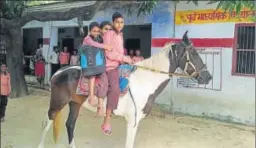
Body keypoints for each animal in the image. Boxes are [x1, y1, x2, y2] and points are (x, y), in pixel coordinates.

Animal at [36, 30, 212, 147]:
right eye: (194, 53)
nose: (208, 77)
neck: (144, 82)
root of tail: (58, 72)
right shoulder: (132, 121)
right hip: (57, 104)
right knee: (46, 123)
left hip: (75, 103)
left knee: (70, 125)